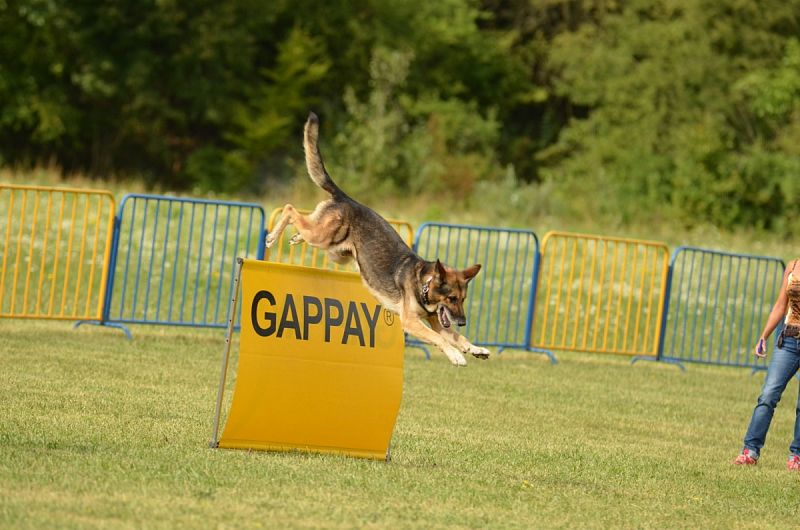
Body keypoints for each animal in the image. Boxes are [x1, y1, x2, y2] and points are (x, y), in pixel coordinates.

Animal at [268, 112, 488, 364]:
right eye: (451, 298)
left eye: (462, 299)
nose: (462, 321)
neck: (424, 285)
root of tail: (346, 197)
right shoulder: (411, 322)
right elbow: (440, 339)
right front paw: (456, 356)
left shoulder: (437, 322)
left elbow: (458, 338)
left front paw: (476, 349)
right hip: (322, 237)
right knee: (289, 209)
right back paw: (272, 237)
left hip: (335, 249)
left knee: (303, 221)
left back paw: (294, 238)